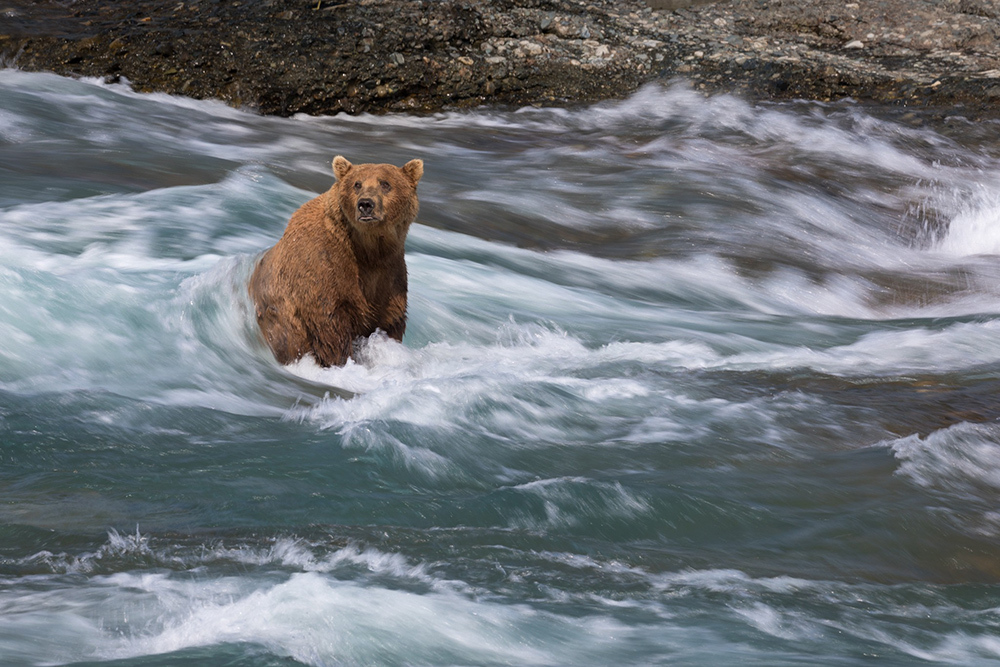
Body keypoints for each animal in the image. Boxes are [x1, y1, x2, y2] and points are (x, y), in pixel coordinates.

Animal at [252, 155, 424, 368]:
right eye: (357, 184)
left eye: (385, 183)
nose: (365, 204)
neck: (368, 251)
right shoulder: (324, 269)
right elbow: (330, 326)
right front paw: (341, 361)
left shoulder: (389, 276)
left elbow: (390, 321)